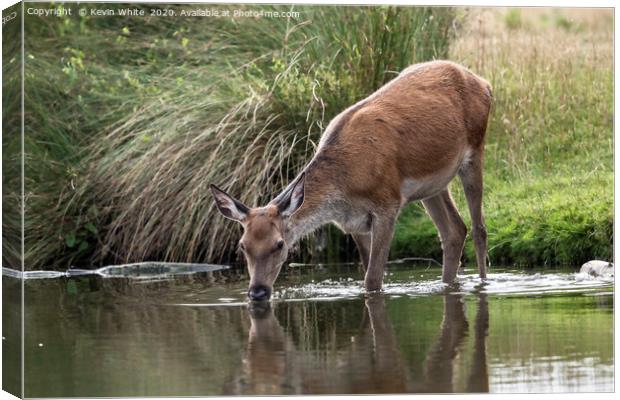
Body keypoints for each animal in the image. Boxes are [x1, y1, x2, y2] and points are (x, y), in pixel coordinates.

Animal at [211, 60, 492, 300]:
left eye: (279, 244)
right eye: (242, 246)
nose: (257, 292)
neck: (344, 186)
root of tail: (484, 83)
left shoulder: (387, 205)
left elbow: (373, 279)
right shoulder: (354, 222)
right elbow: (367, 278)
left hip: (476, 150)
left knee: (478, 228)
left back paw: (483, 282)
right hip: (433, 185)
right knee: (454, 230)